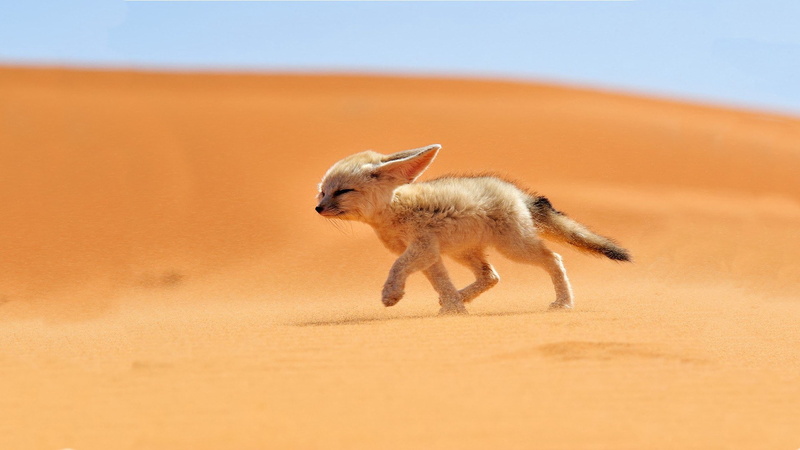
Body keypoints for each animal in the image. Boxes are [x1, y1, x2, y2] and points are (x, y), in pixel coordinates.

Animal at [315, 144, 630, 315]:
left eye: (342, 191)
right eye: (322, 192)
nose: (318, 208)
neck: (394, 209)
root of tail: (517, 192)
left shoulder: (421, 248)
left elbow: (397, 267)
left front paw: (391, 294)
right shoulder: (430, 255)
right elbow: (441, 282)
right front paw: (454, 308)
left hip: (514, 248)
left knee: (553, 258)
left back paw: (564, 302)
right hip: (464, 252)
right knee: (491, 276)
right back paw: (459, 298)